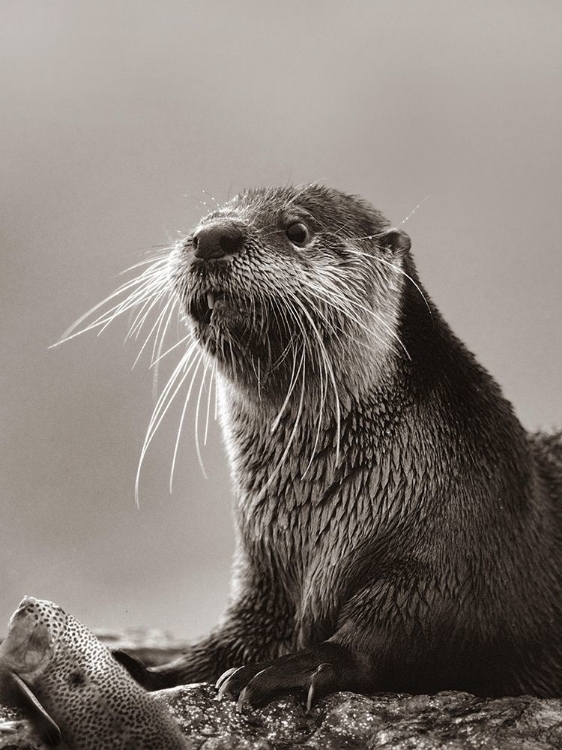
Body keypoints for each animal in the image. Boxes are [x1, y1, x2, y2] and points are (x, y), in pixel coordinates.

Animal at [114, 185, 560, 708]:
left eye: (297, 230)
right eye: (207, 219)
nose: (212, 237)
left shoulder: (466, 551)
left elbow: (398, 637)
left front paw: (279, 670)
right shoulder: (264, 571)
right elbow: (227, 641)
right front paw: (145, 671)